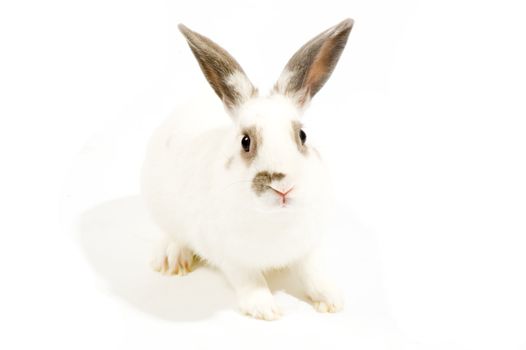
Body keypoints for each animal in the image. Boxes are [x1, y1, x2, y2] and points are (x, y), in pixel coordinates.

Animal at [141, 18, 354, 320]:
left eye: (302, 136)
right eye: (245, 141)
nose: (283, 186)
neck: (275, 219)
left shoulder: (308, 248)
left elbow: (312, 273)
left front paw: (331, 300)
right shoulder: (231, 258)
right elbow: (250, 280)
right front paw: (265, 309)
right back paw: (172, 260)